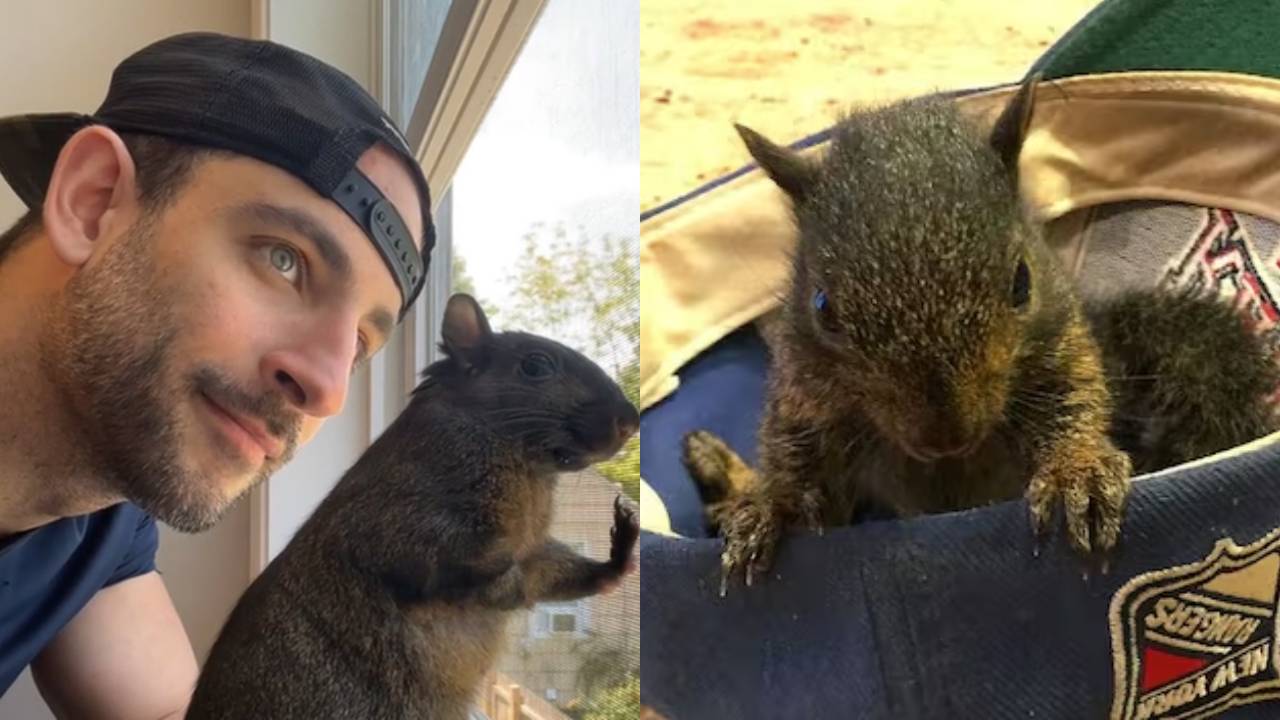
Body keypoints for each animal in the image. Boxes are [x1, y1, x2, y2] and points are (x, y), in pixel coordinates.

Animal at [185, 294, 640, 720]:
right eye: (535, 366)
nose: (630, 421)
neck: (525, 468)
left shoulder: (533, 553)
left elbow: (546, 576)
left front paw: (619, 555)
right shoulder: (393, 518)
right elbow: (432, 558)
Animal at [683, 78, 1133, 594]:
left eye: (1022, 282)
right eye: (823, 307)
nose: (944, 438)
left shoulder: (1061, 348)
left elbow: (1074, 401)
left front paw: (1077, 472)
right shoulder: (803, 393)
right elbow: (792, 455)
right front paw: (772, 505)